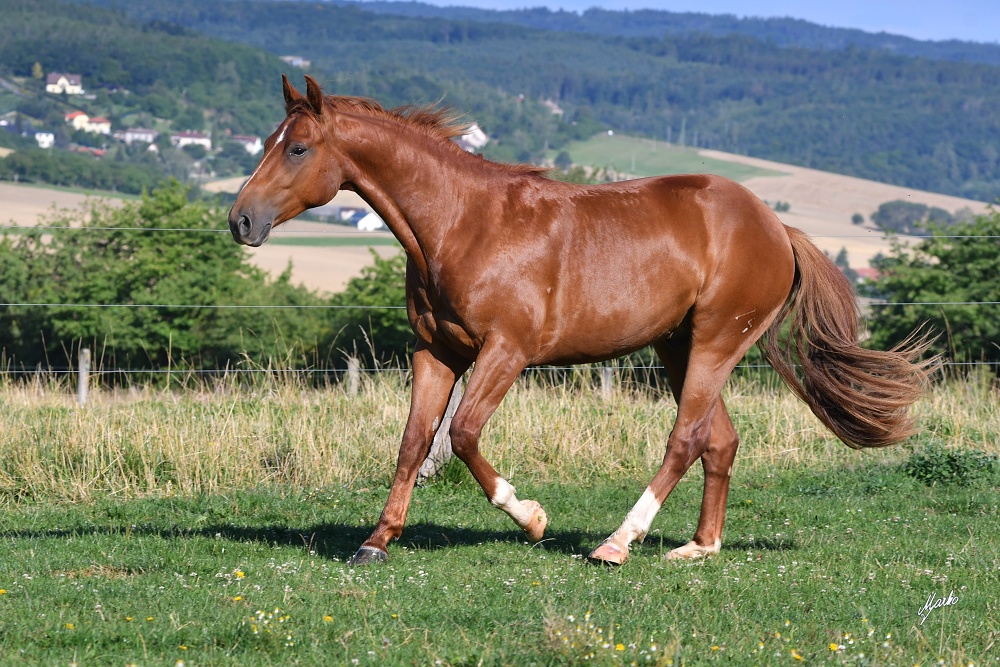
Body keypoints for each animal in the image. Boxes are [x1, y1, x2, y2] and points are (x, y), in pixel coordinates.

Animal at [227, 78, 928, 568]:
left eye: (298, 148)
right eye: (265, 143)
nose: (240, 220)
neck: (462, 224)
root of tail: (776, 228)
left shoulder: (505, 352)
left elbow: (464, 434)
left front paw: (533, 518)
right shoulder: (436, 352)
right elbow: (414, 442)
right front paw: (376, 541)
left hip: (717, 342)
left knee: (686, 439)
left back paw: (617, 543)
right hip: (679, 347)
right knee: (720, 441)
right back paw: (699, 547)